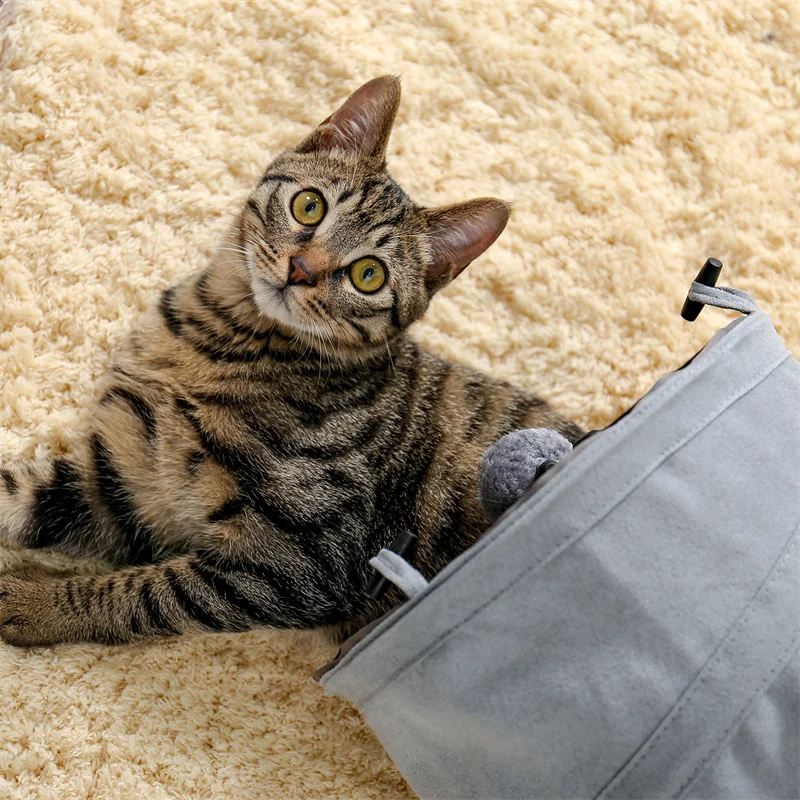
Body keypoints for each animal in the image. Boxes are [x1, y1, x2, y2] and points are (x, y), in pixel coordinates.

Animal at [0, 76, 581, 647]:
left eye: (368, 274)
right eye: (309, 206)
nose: (302, 269)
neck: (219, 338)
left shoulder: (297, 564)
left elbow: (144, 594)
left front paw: (33, 600)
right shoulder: (125, 481)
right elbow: (20, 492)